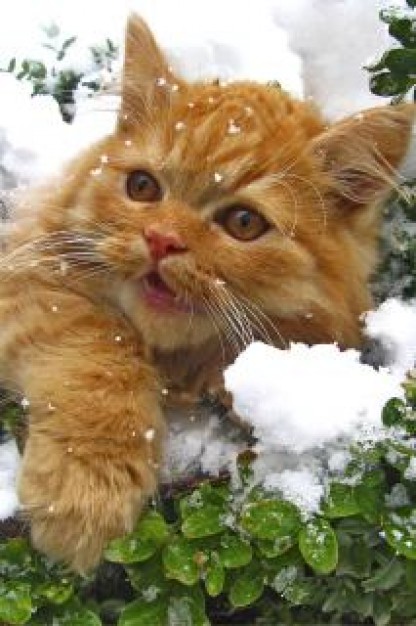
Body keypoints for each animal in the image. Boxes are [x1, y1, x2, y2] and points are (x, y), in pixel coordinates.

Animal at [0, 14, 414, 572]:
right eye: (142, 187)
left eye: (243, 222)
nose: (161, 239)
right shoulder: (30, 277)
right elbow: (100, 347)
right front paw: (87, 487)